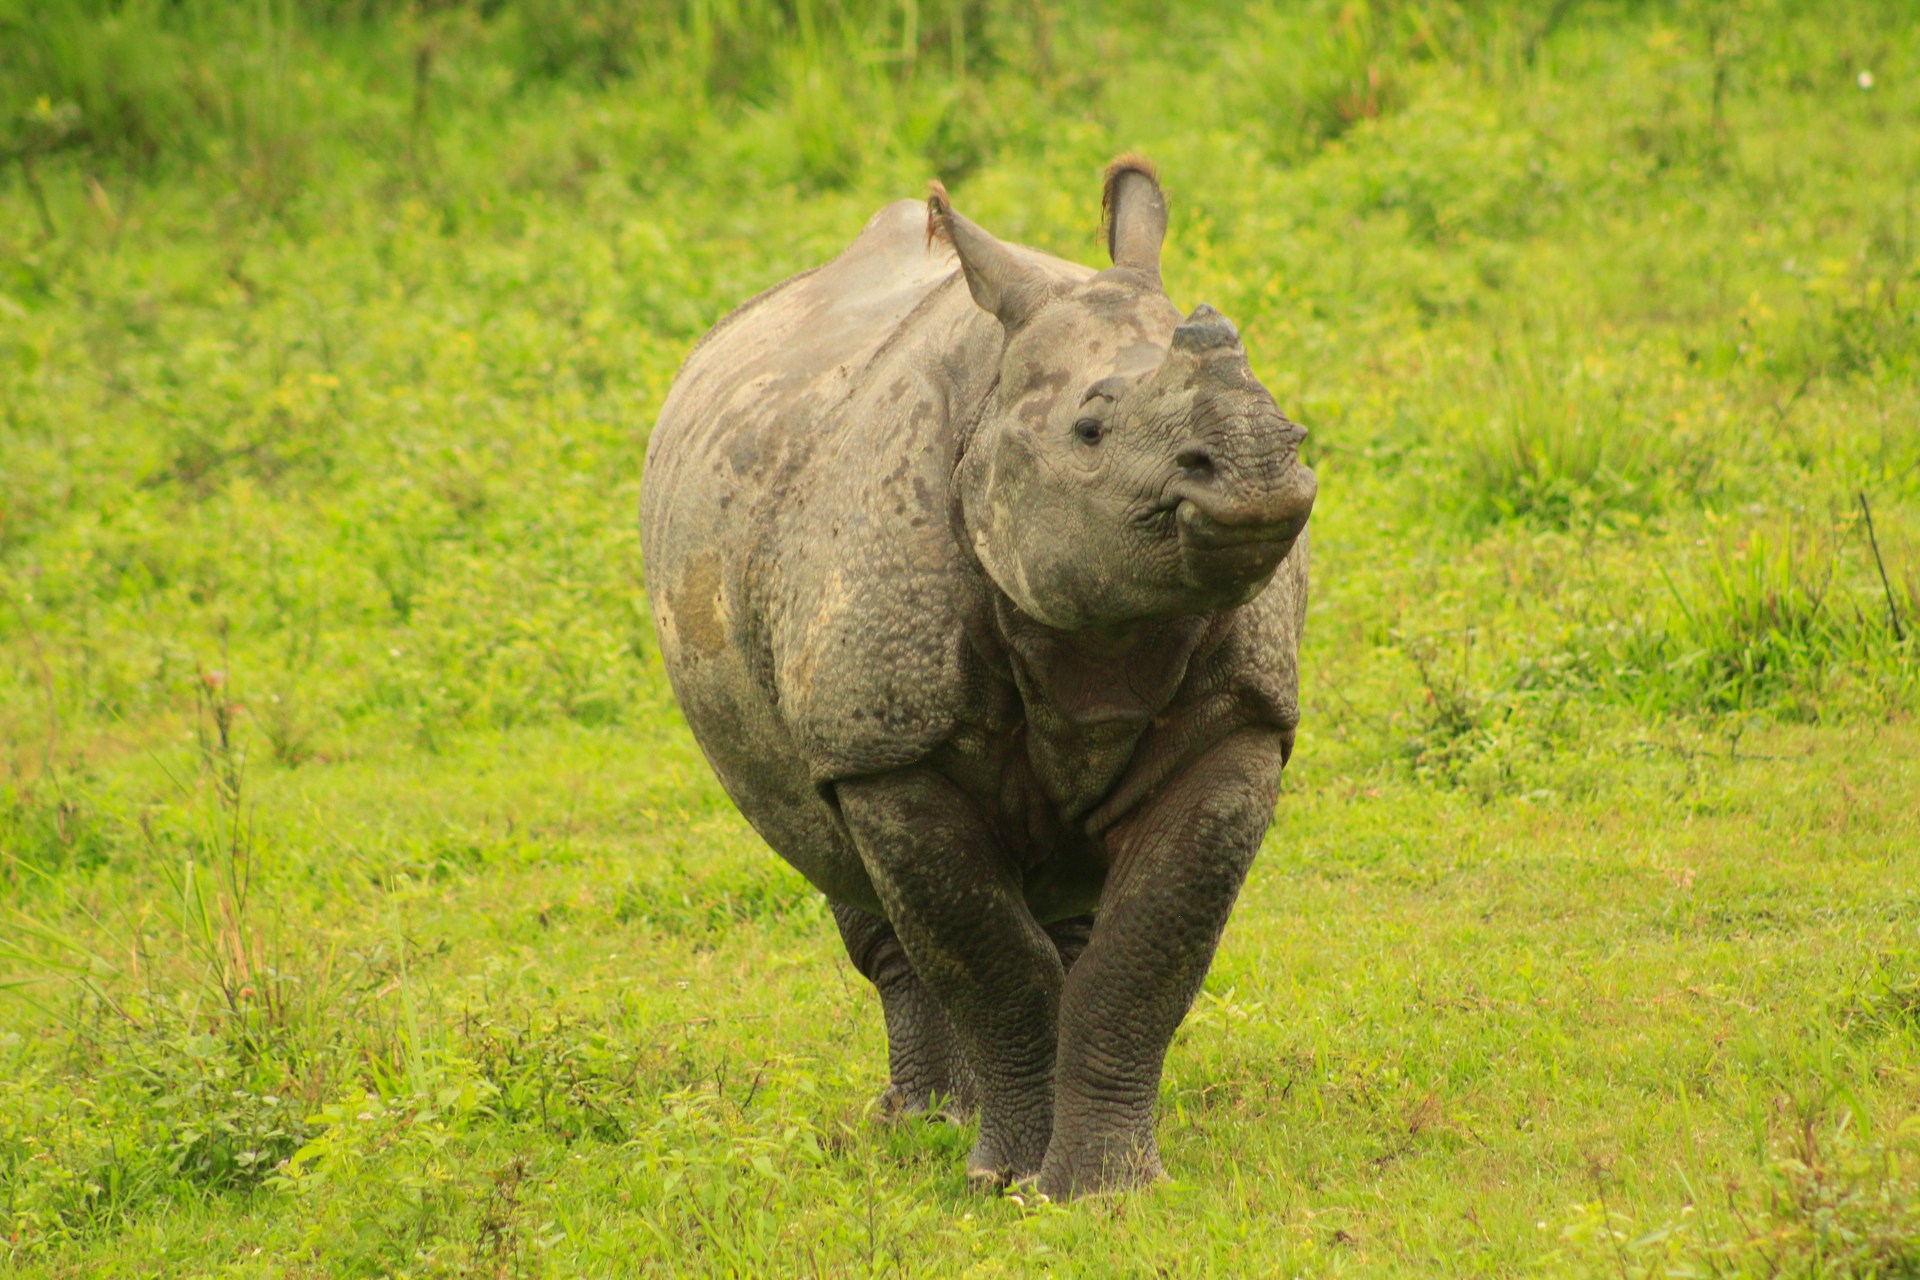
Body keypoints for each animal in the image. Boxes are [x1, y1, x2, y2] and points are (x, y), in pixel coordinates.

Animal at [639, 157, 1315, 1200]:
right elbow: (990, 961)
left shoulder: (1243, 718)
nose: (1255, 463)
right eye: (1089, 429)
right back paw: (922, 1126)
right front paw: (1004, 1183)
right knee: (854, 876)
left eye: (1271, 394)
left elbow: (1147, 954)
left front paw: (1107, 1192)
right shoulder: (884, 743)